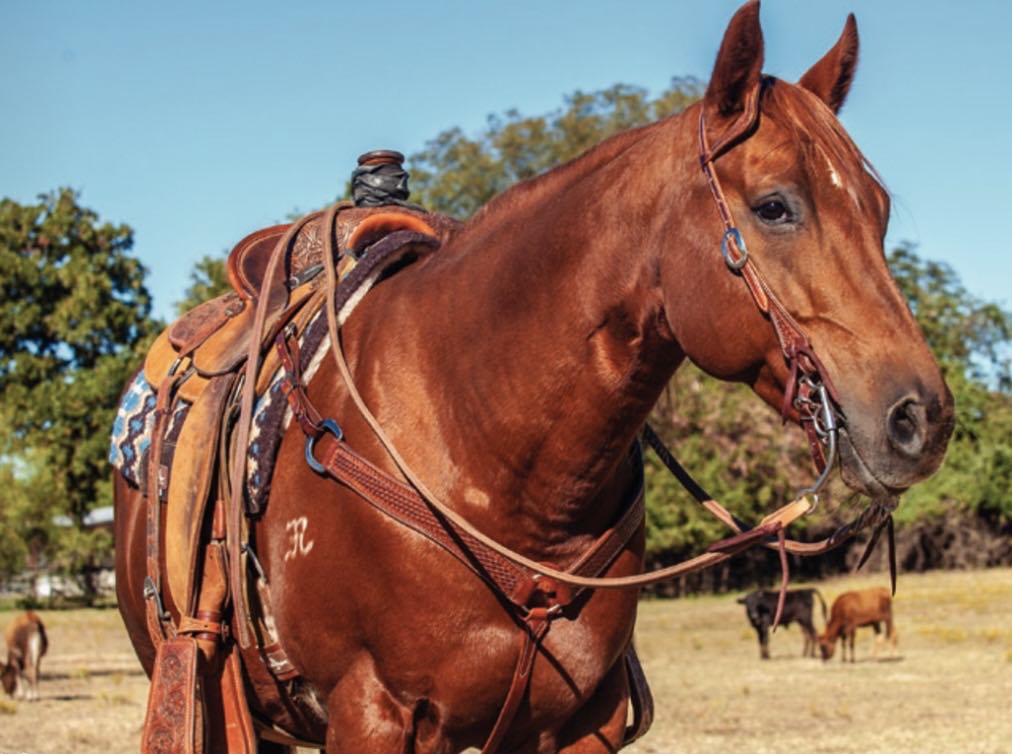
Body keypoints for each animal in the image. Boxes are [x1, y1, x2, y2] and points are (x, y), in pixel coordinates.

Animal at [114, 2, 951, 748]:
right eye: (775, 206)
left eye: (878, 209)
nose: (921, 418)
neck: (482, 448)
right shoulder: (371, 713)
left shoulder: (583, 720)